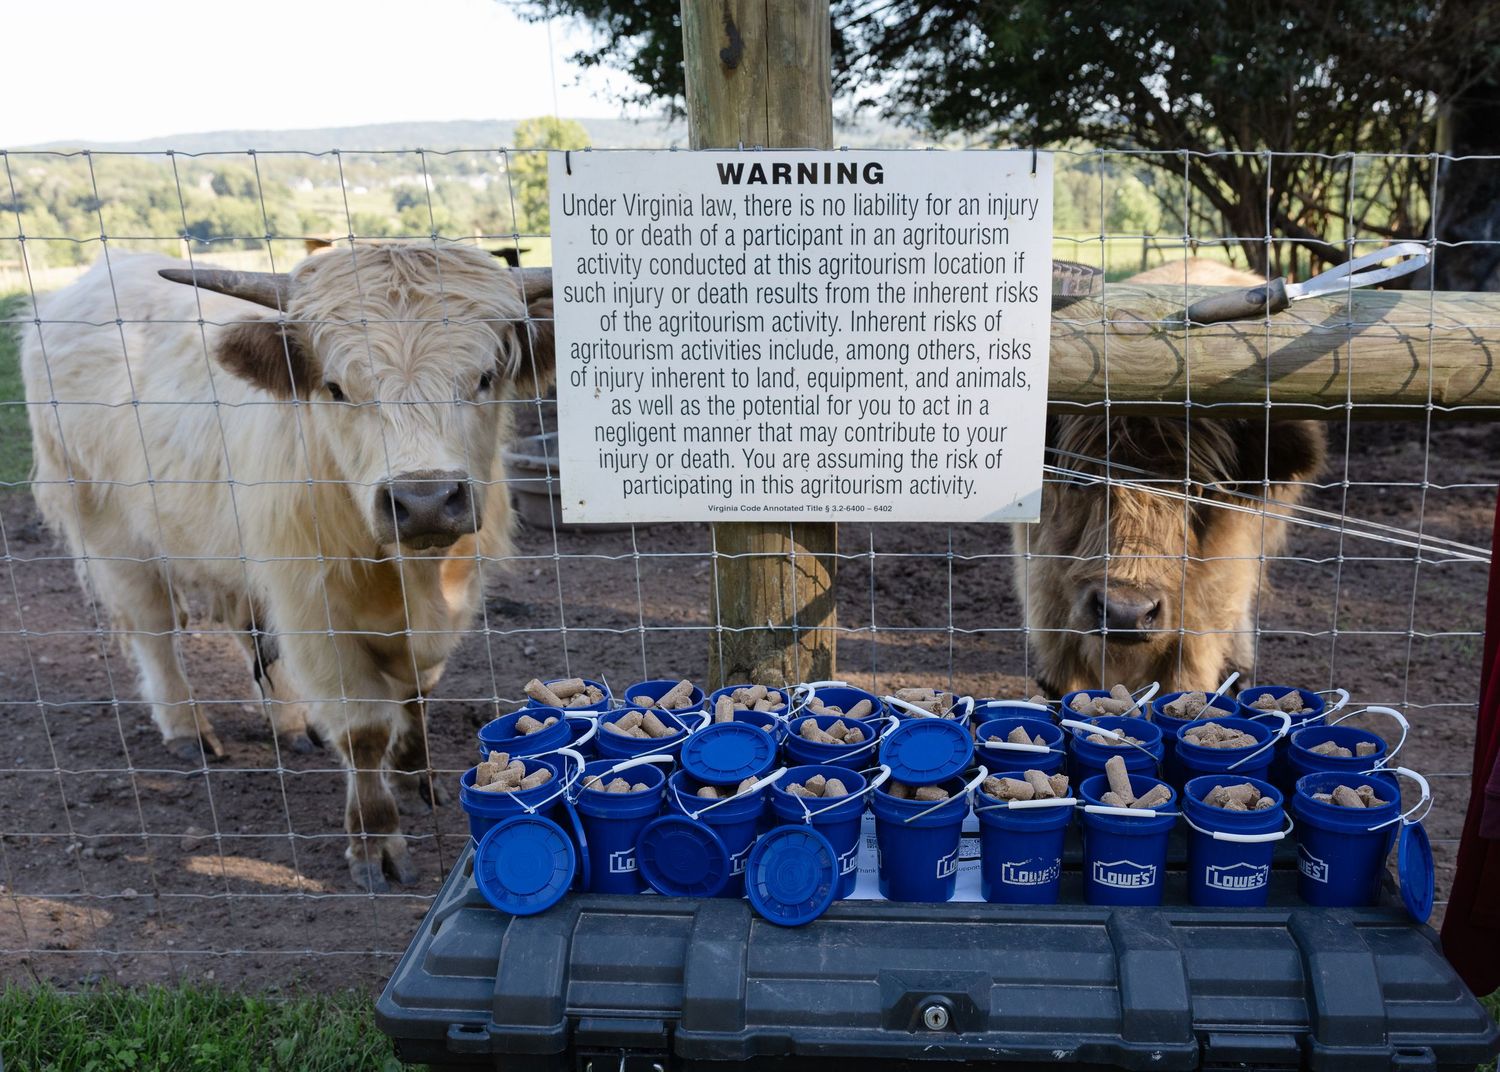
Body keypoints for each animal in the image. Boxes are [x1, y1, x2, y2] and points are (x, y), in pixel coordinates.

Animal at [22, 244, 553, 890]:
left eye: (484, 377)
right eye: (336, 387)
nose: (424, 499)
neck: (413, 576)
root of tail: (101, 271)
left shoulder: (448, 604)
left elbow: (416, 693)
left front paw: (414, 775)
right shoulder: (313, 615)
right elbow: (364, 729)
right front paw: (375, 841)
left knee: (246, 629)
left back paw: (291, 725)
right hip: (110, 529)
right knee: (154, 630)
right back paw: (187, 730)